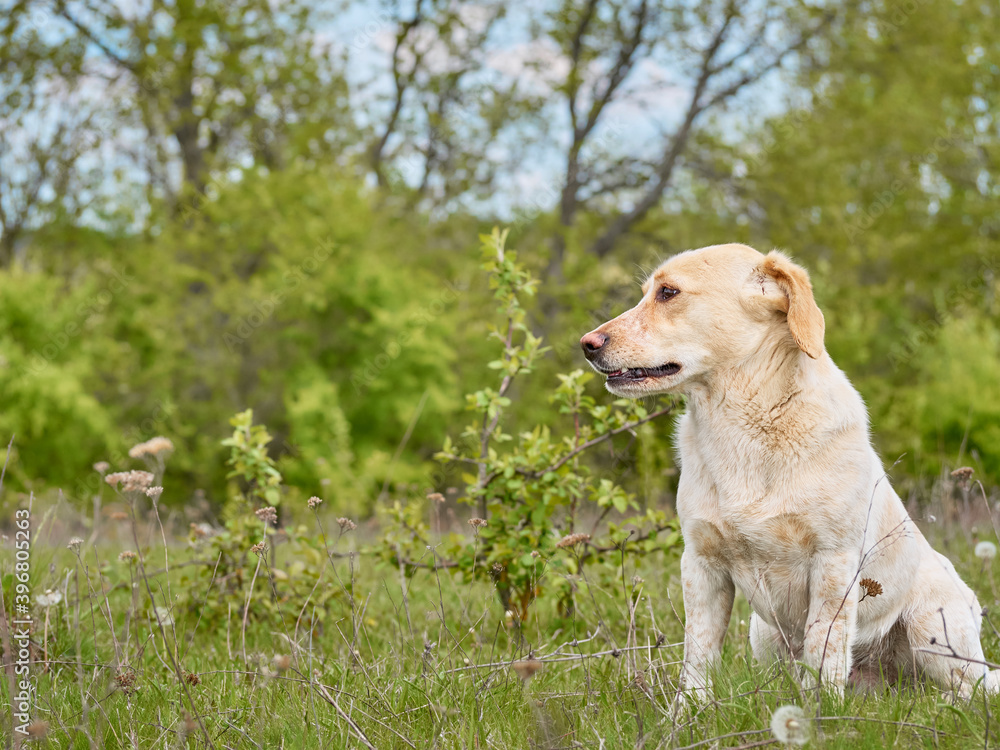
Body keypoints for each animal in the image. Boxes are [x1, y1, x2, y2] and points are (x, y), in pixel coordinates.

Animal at [584, 245, 996, 700]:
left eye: (668, 292)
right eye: (648, 292)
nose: (586, 344)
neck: (742, 424)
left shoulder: (833, 563)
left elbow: (824, 649)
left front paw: (823, 709)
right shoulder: (700, 564)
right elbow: (698, 657)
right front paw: (690, 711)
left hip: (933, 633)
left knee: (974, 690)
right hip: (761, 633)